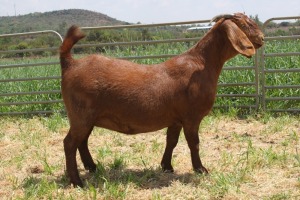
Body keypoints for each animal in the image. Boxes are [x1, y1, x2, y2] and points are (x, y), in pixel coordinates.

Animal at [59, 12, 264, 188]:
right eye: (245, 25)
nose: (262, 38)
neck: (202, 64)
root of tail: (70, 63)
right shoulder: (191, 117)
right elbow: (194, 143)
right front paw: (201, 169)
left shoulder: (176, 119)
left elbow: (171, 141)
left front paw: (167, 167)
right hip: (81, 115)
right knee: (70, 143)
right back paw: (77, 181)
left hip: (86, 117)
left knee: (82, 141)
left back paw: (92, 167)